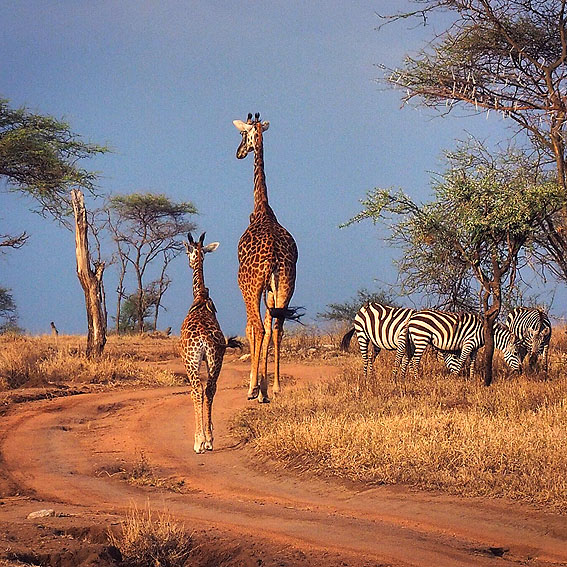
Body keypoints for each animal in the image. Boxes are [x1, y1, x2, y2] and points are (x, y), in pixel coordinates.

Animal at [394, 310, 524, 382]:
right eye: (516, 353)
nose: (520, 372)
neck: (484, 332)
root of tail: (411, 317)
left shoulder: (475, 348)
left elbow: (472, 363)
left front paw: (471, 379)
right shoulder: (468, 343)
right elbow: (461, 361)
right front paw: (456, 377)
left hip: (412, 340)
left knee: (406, 358)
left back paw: (402, 378)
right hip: (421, 338)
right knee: (415, 360)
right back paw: (416, 379)